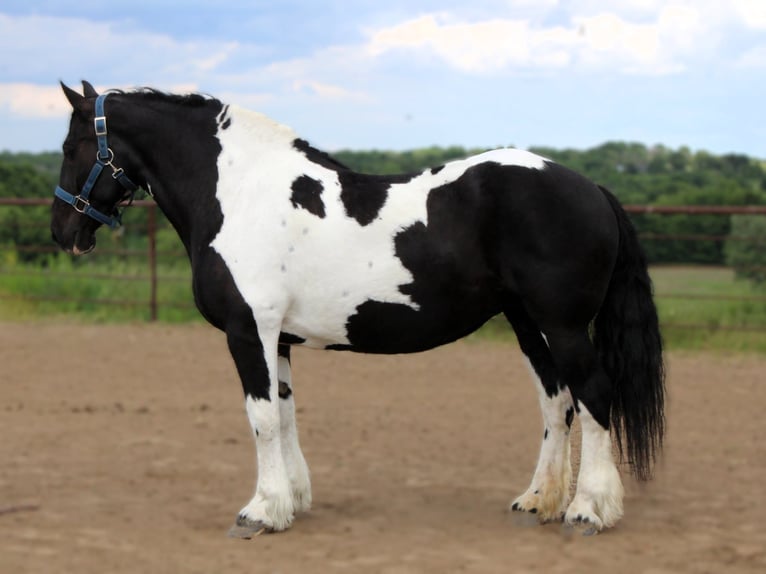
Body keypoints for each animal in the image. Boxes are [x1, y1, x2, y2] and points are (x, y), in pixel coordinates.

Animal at [50, 81, 664, 537]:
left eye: (70, 147)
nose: (63, 233)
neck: (239, 195)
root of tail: (591, 188)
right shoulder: (278, 338)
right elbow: (285, 413)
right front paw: (292, 501)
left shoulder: (248, 331)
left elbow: (261, 418)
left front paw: (259, 511)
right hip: (528, 325)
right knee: (556, 403)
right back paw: (540, 499)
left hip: (563, 326)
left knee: (594, 396)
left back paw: (588, 510)